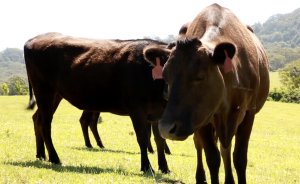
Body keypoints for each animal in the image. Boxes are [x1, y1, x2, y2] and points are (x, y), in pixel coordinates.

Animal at [24, 33, 171, 174]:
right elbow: (143, 138)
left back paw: (41, 154)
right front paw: (147, 167)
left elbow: (160, 140)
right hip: (43, 90)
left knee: (38, 118)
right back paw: (54, 158)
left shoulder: (158, 112)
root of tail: (34, 39)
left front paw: (164, 167)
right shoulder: (137, 109)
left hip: (55, 95)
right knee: (45, 124)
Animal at [143, 3, 270, 183]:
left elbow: (239, 158)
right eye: (165, 76)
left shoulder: (248, 113)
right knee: (201, 145)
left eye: (200, 76)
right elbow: (212, 158)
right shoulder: (202, 117)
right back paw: (201, 177)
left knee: (225, 148)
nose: (166, 128)